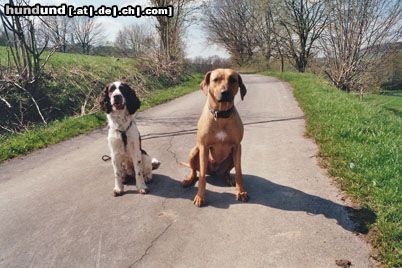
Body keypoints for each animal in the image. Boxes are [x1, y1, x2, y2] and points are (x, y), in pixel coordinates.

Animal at [182, 68, 248, 206]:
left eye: (233, 80)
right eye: (215, 79)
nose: (225, 92)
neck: (221, 115)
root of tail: (214, 172)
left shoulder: (237, 146)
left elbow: (239, 172)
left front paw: (241, 192)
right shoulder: (203, 147)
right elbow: (201, 176)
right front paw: (200, 196)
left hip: (231, 157)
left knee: (227, 171)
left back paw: (229, 178)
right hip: (194, 151)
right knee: (194, 171)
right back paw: (189, 179)